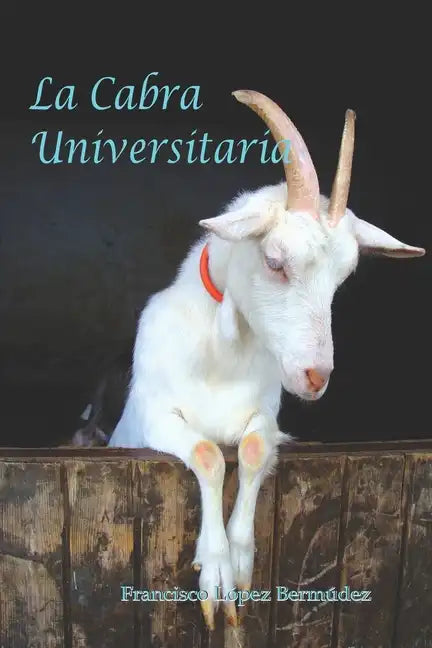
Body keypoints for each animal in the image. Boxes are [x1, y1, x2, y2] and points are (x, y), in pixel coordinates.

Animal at [108, 90, 425, 630]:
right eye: (275, 261)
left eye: (344, 277)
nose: (316, 376)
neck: (220, 361)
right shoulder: (153, 418)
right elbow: (209, 454)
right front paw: (214, 570)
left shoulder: (267, 418)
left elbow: (254, 450)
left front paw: (238, 562)